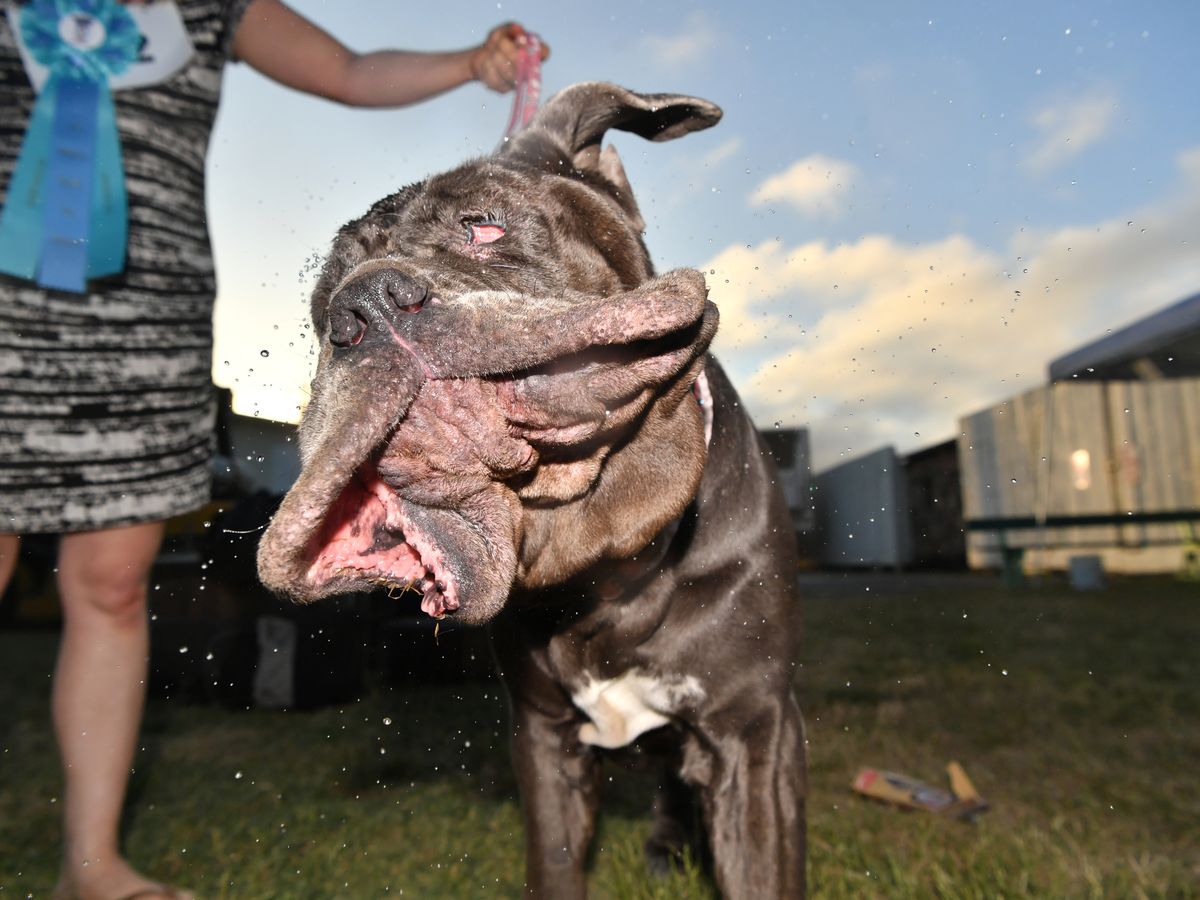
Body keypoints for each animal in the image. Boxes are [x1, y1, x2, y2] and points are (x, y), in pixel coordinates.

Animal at [259, 81, 811, 897]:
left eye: (483, 225)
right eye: (321, 306)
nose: (363, 306)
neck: (604, 565)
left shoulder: (755, 735)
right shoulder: (544, 744)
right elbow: (555, 864)